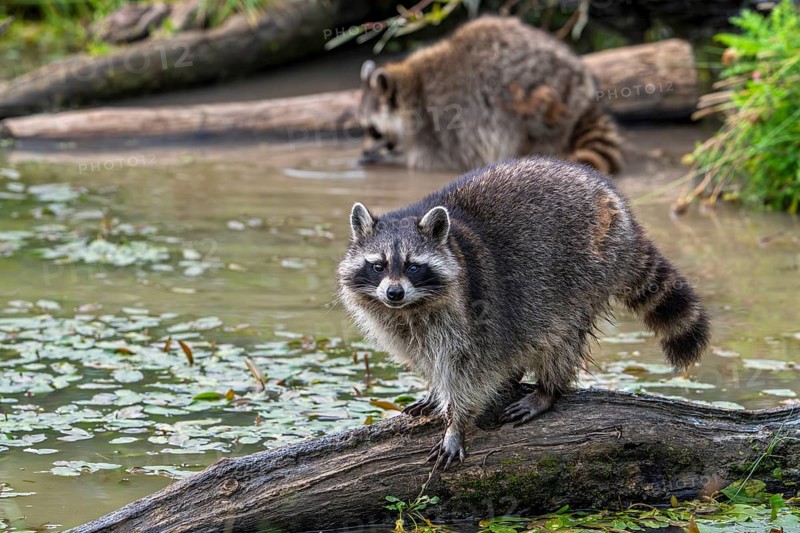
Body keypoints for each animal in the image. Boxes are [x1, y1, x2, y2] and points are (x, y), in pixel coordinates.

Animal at [337, 157, 709, 469]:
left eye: (414, 266)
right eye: (378, 265)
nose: (394, 293)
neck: (413, 307)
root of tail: (613, 198)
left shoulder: (473, 312)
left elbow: (469, 371)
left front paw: (456, 424)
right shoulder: (403, 324)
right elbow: (429, 359)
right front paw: (435, 390)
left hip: (585, 268)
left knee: (561, 336)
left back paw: (548, 389)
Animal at [358, 16, 622, 174]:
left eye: (373, 130)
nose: (363, 152)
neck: (411, 89)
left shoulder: (443, 129)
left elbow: (432, 160)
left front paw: (396, 159)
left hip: (540, 102)